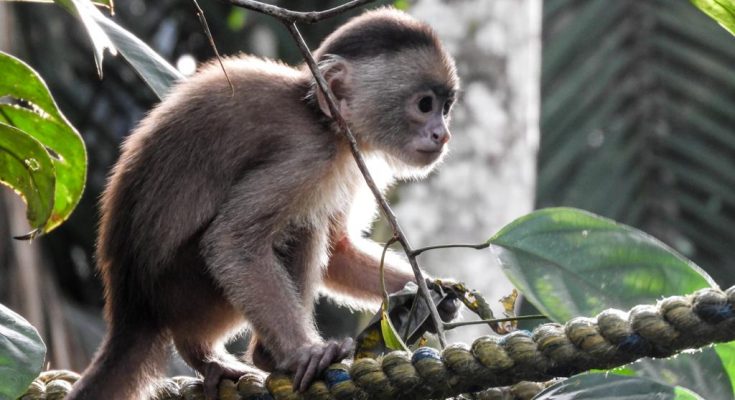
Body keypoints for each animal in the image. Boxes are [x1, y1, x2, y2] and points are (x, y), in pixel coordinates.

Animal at [67, 7, 460, 400]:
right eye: (425, 105)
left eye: (446, 107)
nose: (442, 134)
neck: (321, 119)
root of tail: (133, 310)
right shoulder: (311, 155)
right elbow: (231, 241)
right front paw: (303, 352)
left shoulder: (346, 157)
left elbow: (338, 251)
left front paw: (431, 293)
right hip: (186, 289)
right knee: (302, 225)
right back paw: (260, 356)